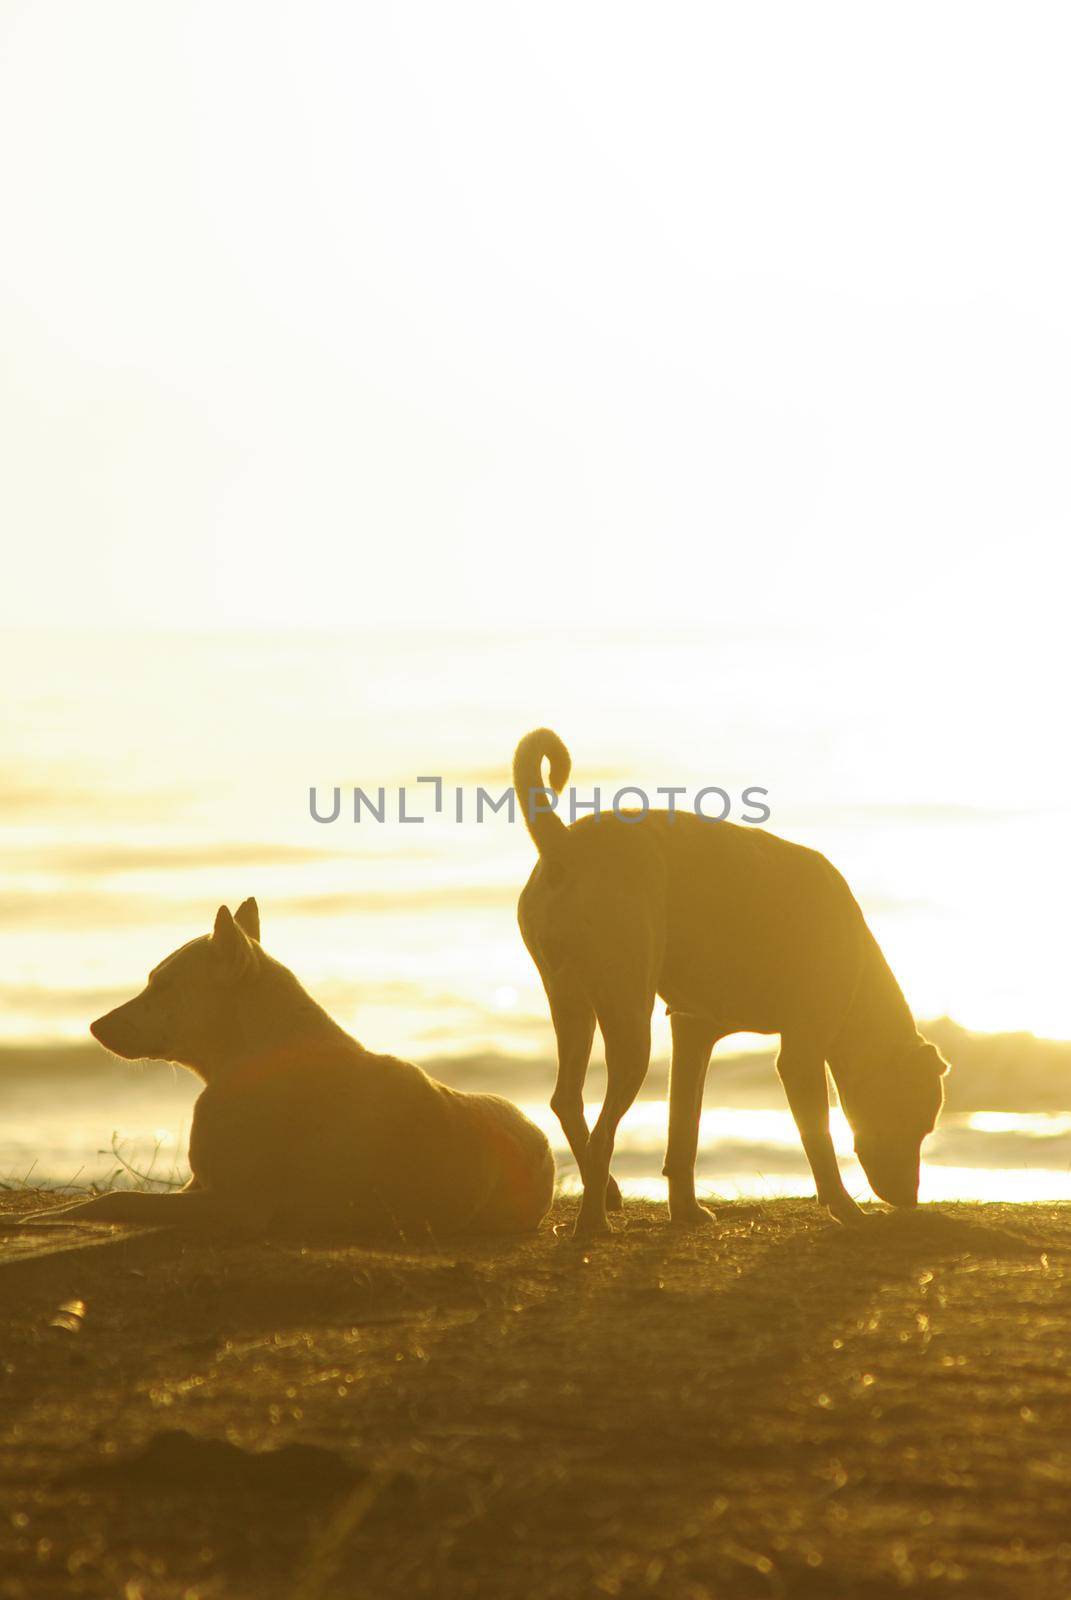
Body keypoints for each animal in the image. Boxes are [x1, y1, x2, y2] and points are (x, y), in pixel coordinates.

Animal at [35, 902, 550, 1235]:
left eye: (162, 986)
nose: (94, 1026)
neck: (255, 1050)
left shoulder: (234, 1204)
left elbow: (117, 1198)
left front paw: (41, 1216)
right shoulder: (200, 1187)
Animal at [512, 729, 947, 1235]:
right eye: (919, 1122)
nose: (910, 1200)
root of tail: (565, 845)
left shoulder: (693, 1029)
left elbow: (684, 1128)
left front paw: (686, 1210)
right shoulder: (800, 1054)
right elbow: (817, 1138)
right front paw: (845, 1209)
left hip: (569, 998)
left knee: (566, 1099)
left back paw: (608, 1193)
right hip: (628, 1017)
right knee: (603, 1130)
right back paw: (594, 1221)